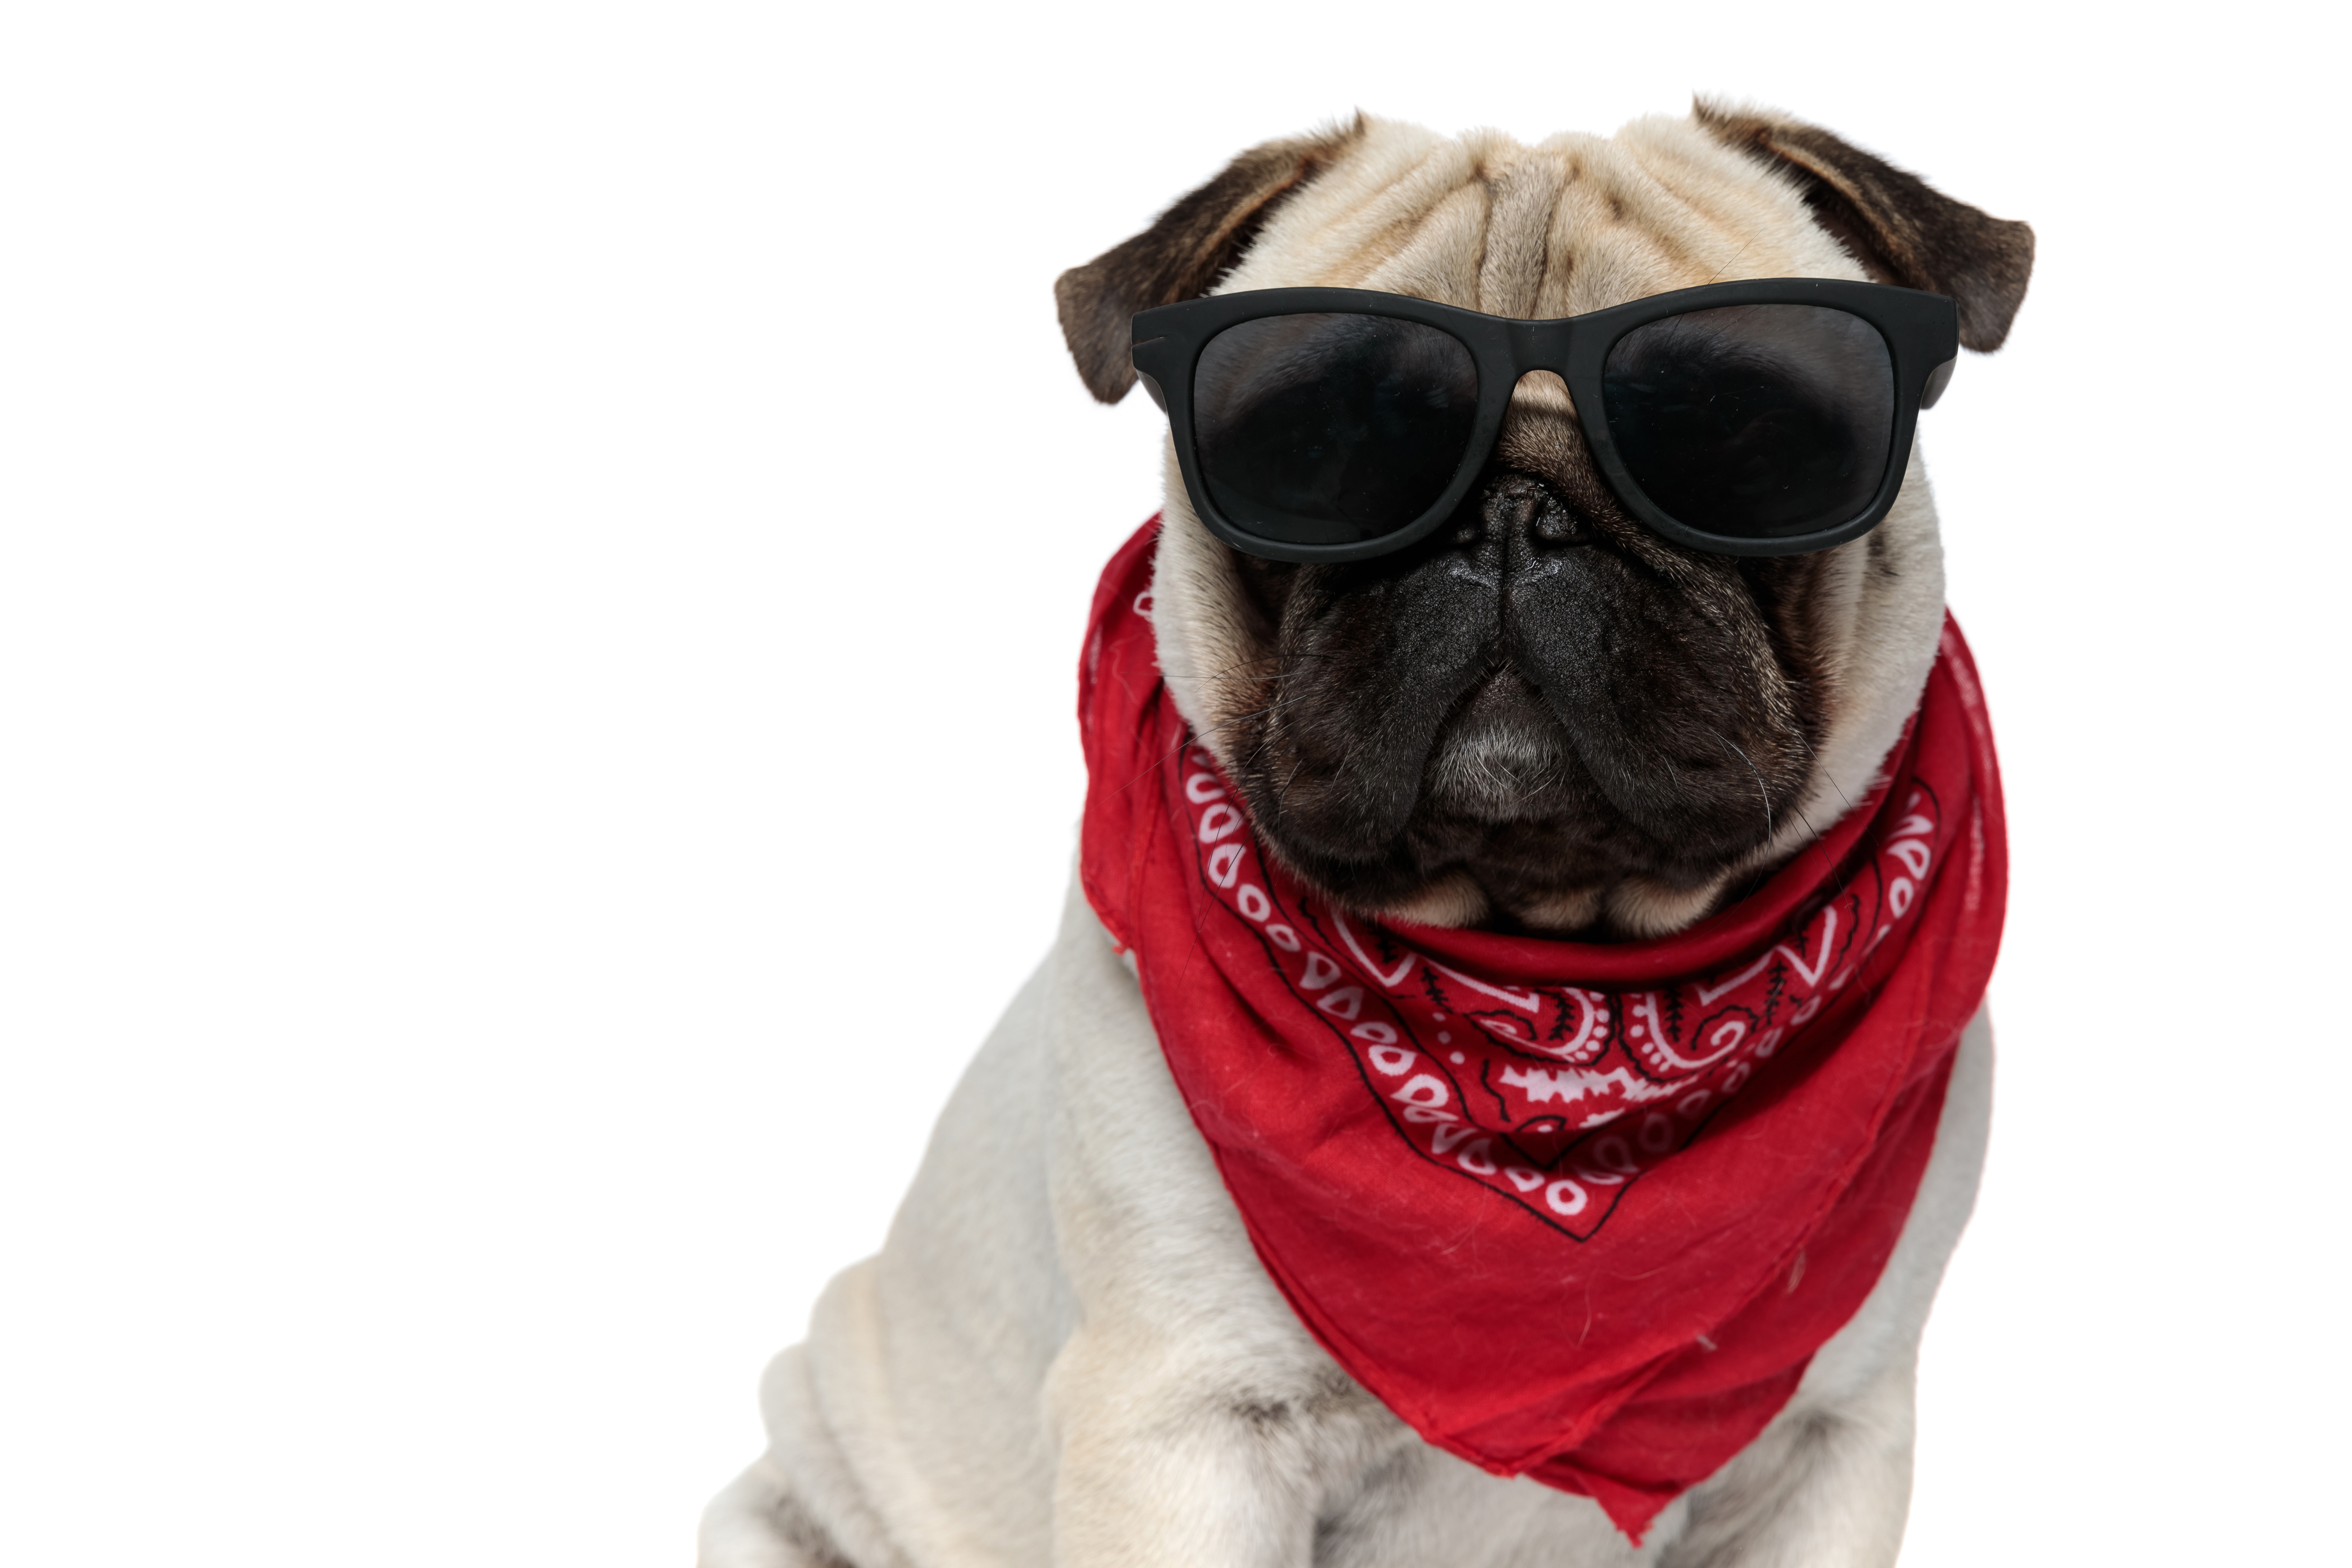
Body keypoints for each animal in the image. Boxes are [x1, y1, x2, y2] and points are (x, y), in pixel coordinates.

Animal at [696, 104, 2023, 1568]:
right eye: (1322, 453)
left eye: (1738, 442)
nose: (1512, 514)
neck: (1543, 990)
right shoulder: (1184, 1427)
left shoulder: (1829, 1444)